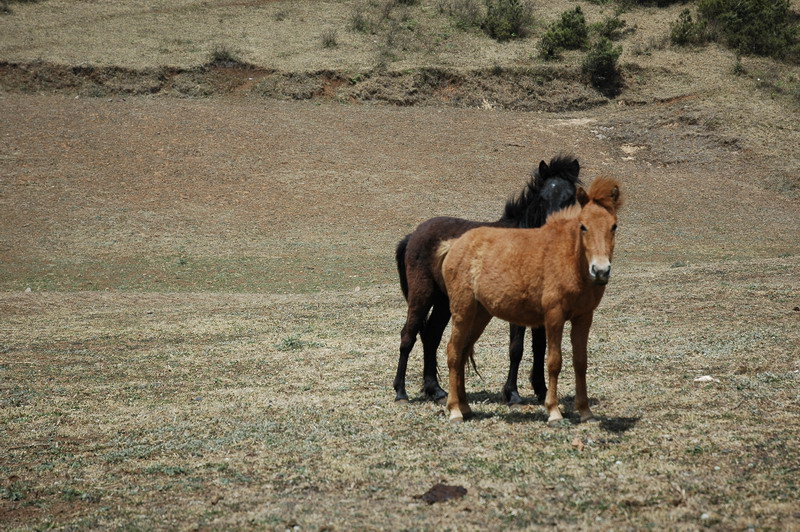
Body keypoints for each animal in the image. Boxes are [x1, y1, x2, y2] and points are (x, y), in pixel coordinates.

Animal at [394, 156, 580, 406]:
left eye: (570, 197)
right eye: (542, 197)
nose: (555, 227)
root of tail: (413, 235)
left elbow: (540, 346)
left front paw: (541, 391)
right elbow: (516, 348)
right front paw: (513, 394)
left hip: (443, 301)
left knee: (431, 336)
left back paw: (437, 391)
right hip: (422, 295)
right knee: (408, 335)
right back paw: (401, 392)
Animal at [440, 178, 620, 424]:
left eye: (614, 226)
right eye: (583, 226)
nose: (600, 271)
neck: (569, 258)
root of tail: (454, 244)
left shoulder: (584, 317)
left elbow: (580, 362)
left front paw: (585, 412)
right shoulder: (554, 316)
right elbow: (554, 361)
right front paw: (554, 411)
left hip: (480, 315)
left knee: (463, 351)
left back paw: (465, 407)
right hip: (463, 309)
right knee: (453, 351)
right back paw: (454, 410)